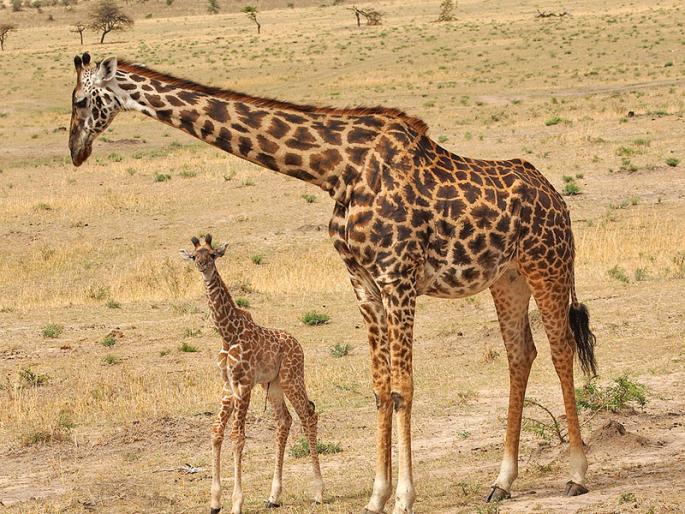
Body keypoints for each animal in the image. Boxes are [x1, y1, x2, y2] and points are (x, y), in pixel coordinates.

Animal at [180, 234, 324, 514]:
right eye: (194, 256)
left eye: (212, 254)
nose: (202, 266)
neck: (228, 333)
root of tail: (298, 344)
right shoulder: (227, 385)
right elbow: (216, 430)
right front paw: (215, 502)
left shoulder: (243, 383)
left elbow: (237, 436)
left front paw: (236, 503)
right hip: (273, 384)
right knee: (285, 421)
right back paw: (273, 496)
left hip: (291, 378)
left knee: (308, 415)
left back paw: (319, 493)